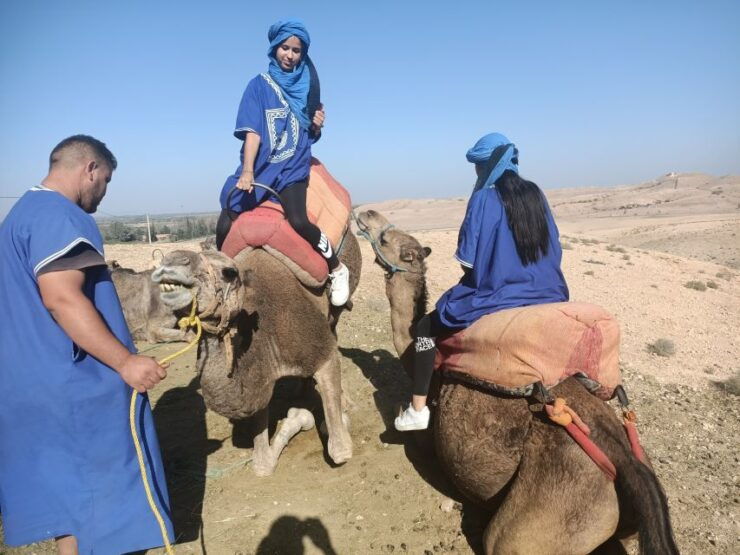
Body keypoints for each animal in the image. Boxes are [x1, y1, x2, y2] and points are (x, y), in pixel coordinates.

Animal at [152, 233, 361, 476]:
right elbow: (262, 463)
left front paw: (335, 421)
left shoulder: (320, 350)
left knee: (334, 330)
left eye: (229, 272)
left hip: (336, 307)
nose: (172, 261)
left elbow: (340, 450)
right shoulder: (262, 374)